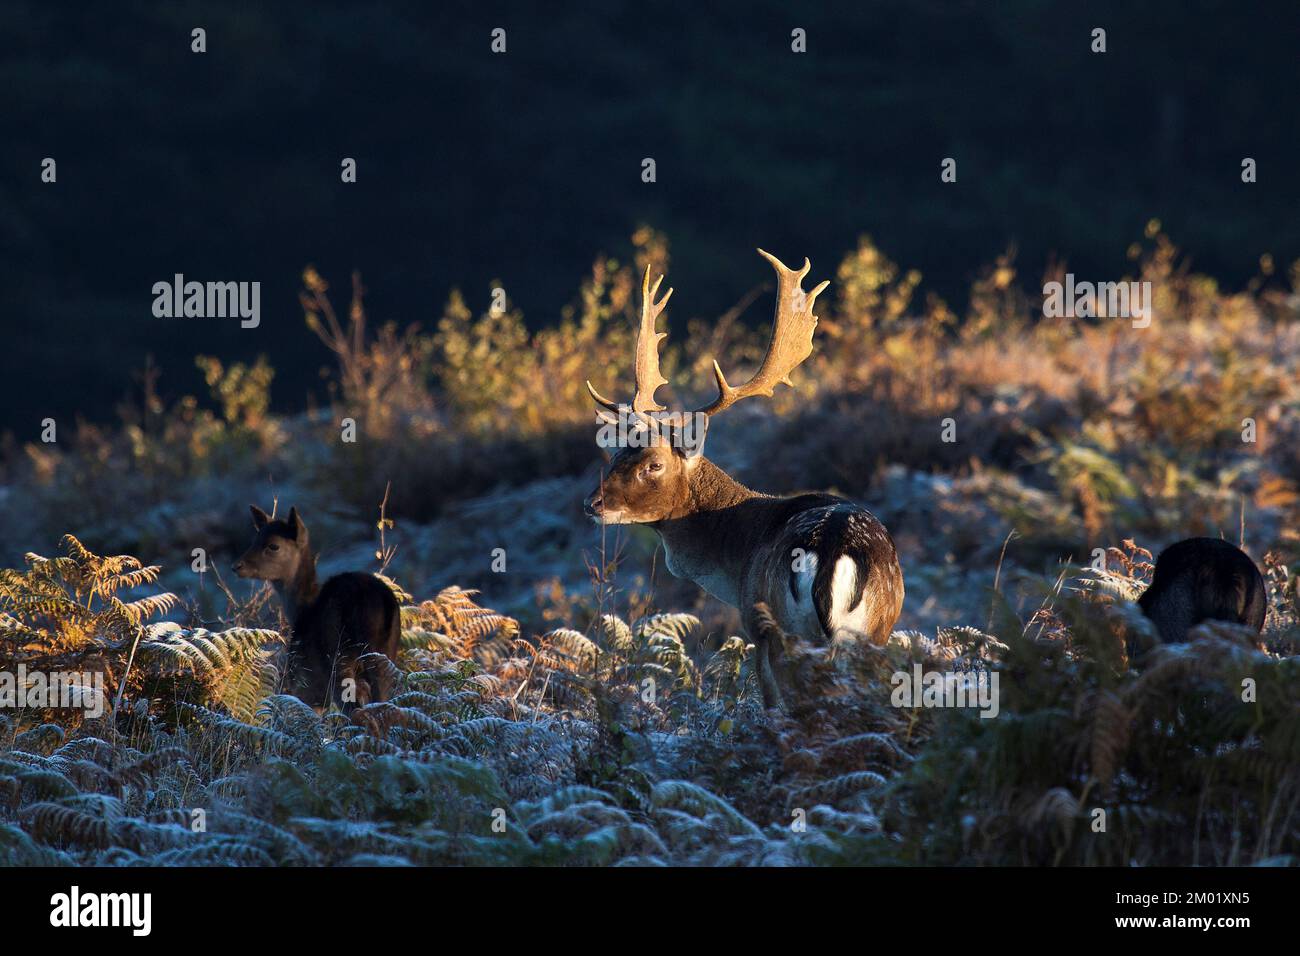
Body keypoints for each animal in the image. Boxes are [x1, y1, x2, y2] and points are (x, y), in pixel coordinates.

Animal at [233, 505, 401, 710]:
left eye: (273, 545)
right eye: (255, 540)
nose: (237, 566)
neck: (302, 611)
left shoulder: (308, 682)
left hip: (339, 659)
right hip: (386, 659)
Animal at [583, 249, 905, 709]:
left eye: (654, 465)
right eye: (616, 452)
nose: (592, 504)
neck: (734, 563)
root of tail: (832, 556)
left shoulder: (754, 622)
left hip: (786, 630)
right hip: (874, 630)